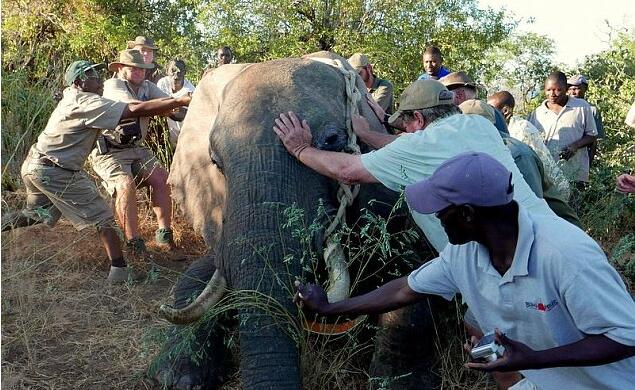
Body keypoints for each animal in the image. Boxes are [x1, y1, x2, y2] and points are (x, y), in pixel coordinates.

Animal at [152, 52, 444, 390]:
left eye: (332, 140)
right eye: (215, 161)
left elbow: (412, 278)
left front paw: (396, 383)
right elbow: (204, 271)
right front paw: (177, 378)